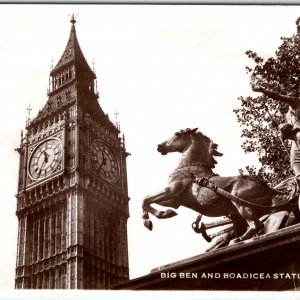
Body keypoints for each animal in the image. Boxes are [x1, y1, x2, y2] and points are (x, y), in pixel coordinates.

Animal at [142, 128, 280, 244]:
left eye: (177, 134)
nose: (159, 146)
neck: (189, 169)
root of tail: (270, 189)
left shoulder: (171, 191)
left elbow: (145, 199)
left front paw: (150, 221)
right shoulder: (175, 201)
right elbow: (149, 201)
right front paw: (167, 213)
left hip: (241, 204)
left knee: (256, 225)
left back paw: (240, 239)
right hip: (237, 212)